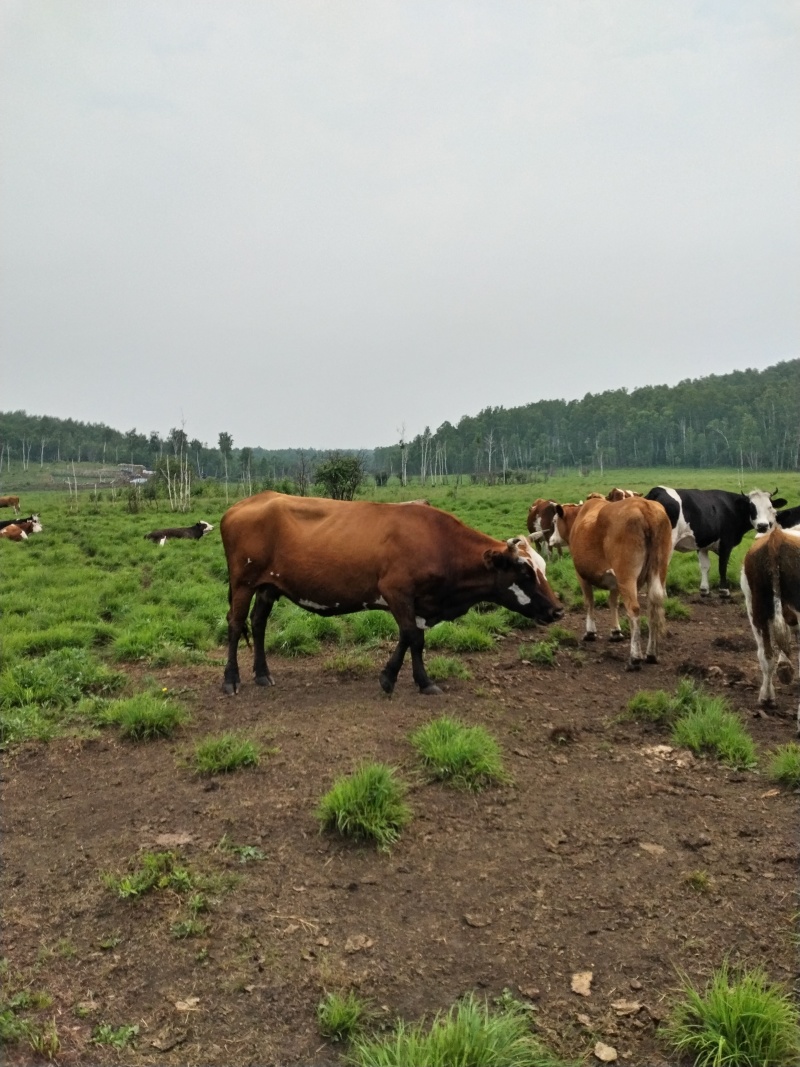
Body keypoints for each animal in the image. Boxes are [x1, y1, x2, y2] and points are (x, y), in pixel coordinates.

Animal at [550, 497, 678, 665]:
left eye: (554, 521)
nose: (551, 540)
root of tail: (645, 506)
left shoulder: (582, 575)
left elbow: (589, 602)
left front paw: (590, 632)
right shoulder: (615, 582)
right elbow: (613, 602)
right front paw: (616, 631)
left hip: (626, 576)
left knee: (634, 610)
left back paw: (635, 657)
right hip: (659, 570)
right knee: (653, 608)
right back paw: (651, 654)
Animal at [644, 488, 789, 597]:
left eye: (770, 507)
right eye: (751, 507)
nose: (763, 526)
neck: (732, 508)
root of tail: (657, 491)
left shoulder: (702, 544)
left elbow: (705, 566)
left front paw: (704, 589)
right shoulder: (726, 543)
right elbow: (722, 566)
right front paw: (724, 590)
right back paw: (662, 594)